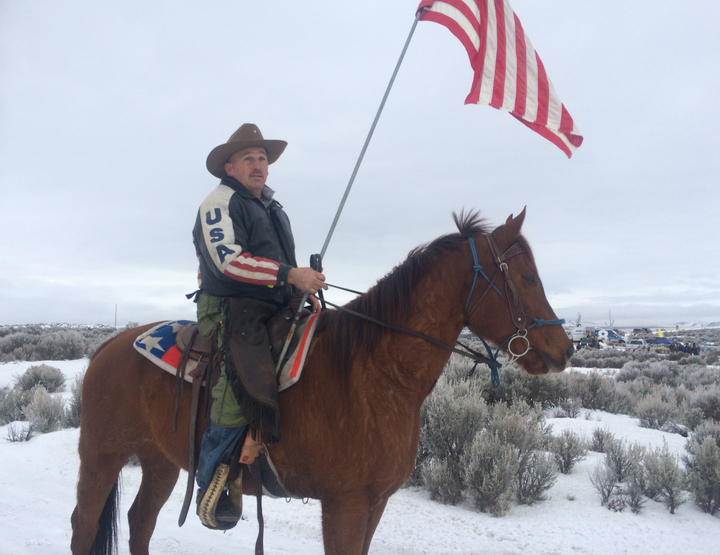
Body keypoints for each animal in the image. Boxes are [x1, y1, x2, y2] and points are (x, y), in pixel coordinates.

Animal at [69, 208, 572, 555]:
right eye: (527, 276)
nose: (565, 349)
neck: (375, 375)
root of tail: (109, 346)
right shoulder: (344, 502)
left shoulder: (374, 503)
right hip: (102, 455)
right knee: (83, 526)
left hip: (160, 461)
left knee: (140, 522)